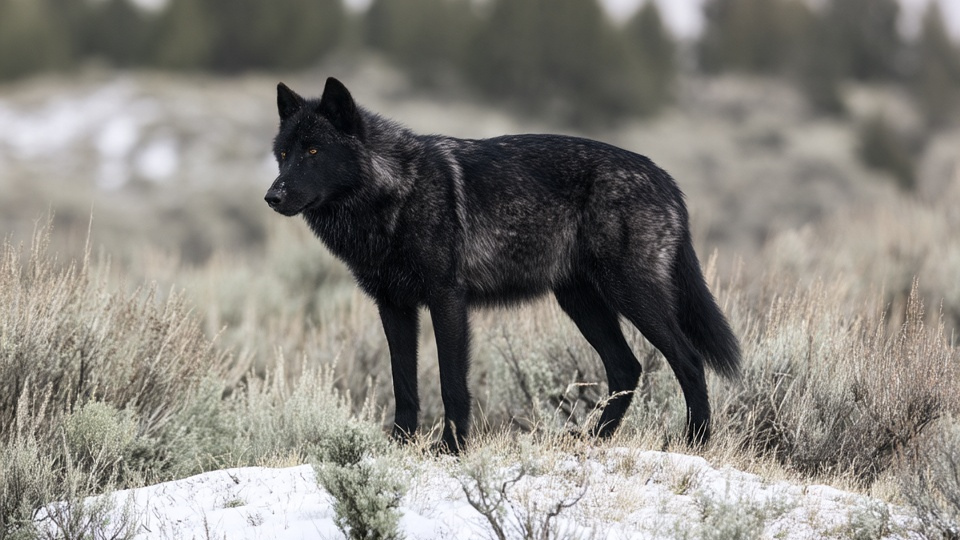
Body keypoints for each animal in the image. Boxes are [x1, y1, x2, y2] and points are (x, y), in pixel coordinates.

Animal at [265, 77, 741, 452]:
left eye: (313, 151)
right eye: (283, 154)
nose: (272, 196)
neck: (396, 193)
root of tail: (666, 178)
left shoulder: (447, 299)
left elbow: (451, 384)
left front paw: (451, 449)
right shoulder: (393, 306)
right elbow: (405, 385)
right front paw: (399, 446)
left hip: (631, 294)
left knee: (688, 360)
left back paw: (694, 442)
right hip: (581, 303)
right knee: (627, 366)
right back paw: (592, 439)